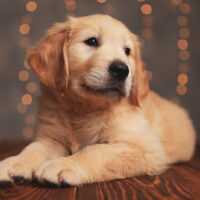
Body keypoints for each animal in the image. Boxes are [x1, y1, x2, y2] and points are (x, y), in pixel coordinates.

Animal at [0, 14, 195, 186]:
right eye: (92, 41)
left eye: (127, 51)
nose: (122, 70)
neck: (85, 108)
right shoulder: (51, 138)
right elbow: (33, 148)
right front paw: (14, 163)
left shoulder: (146, 148)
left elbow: (96, 150)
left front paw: (62, 164)